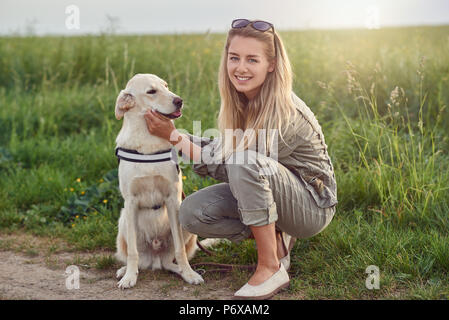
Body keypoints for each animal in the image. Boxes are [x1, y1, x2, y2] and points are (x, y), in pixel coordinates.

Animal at [114, 74, 207, 288]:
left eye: (166, 86)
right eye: (151, 91)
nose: (179, 100)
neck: (148, 140)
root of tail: (154, 261)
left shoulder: (173, 200)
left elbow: (180, 250)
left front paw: (189, 273)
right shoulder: (130, 202)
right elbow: (132, 253)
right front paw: (129, 277)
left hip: (185, 224)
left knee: (170, 261)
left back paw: (183, 271)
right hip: (123, 222)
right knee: (136, 257)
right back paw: (125, 271)